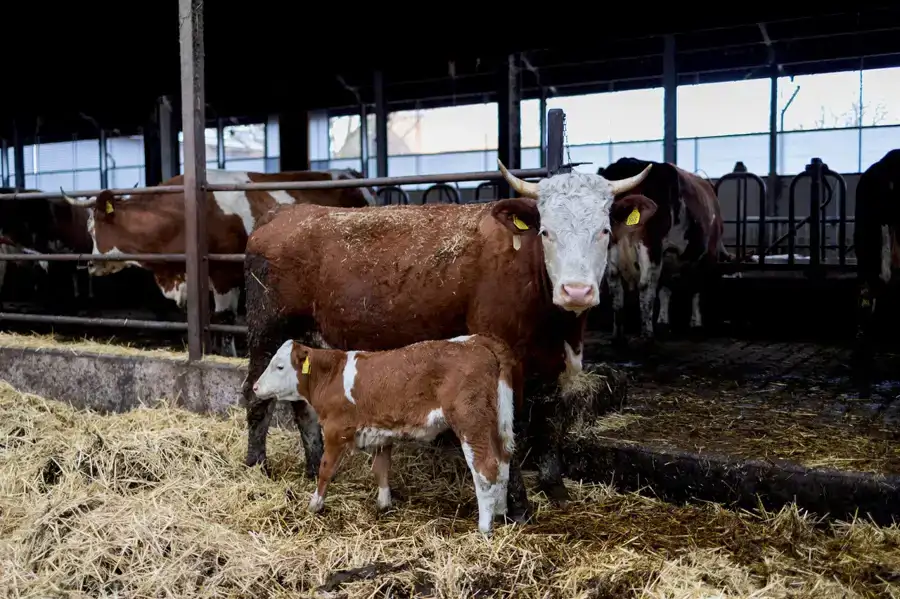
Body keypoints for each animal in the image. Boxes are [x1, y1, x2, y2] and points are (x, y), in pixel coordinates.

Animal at [252, 334, 520, 535]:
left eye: (280, 366)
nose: (255, 387)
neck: (331, 376)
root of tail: (474, 340)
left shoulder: (335, 430)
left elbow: (325, 469)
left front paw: (315, 504)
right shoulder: (381, 435)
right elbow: (381, 469)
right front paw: (383, 504)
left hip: (470, 421)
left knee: (485, 468)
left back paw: (484, 527)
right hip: (497, 422)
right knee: (504, 462)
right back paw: (500, 513)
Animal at [598, 158, 729, 343]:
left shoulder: (651, 248)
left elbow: (645, 287)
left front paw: (647, 336)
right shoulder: (612, 250)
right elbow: (615, 287)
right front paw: (618, 337)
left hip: (706, 255)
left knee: (697, 286)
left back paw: (696, 324)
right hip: (670, 258)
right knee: (666, 287)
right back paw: (663, 322)